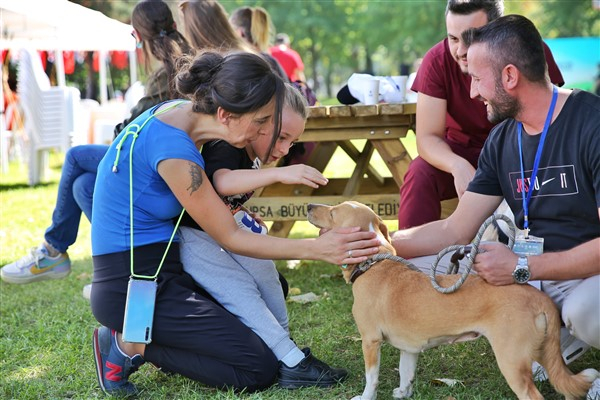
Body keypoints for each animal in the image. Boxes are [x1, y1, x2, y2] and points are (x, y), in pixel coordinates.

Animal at [308, 200, 596, 400]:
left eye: (333, 213)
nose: (310, 206)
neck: (374, 264)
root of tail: (536, 297)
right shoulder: (409, 348)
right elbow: (406, 372)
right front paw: (403, 392)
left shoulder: (370, 340)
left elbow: (372, 377)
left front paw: (366, 396)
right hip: (544, 353)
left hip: (512, 360)